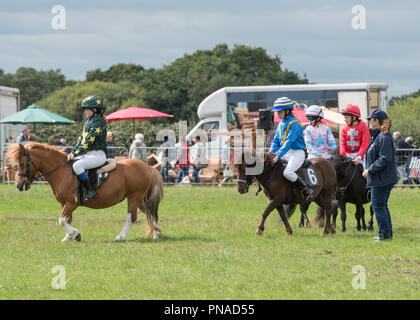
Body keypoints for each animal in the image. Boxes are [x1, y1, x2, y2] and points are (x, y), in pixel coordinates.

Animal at [6, 142, 164, 242]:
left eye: (21, 164)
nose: (19, 185)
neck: (61, 171)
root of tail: (148, 167)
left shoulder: (71, 203)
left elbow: (61, 220)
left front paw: (75, 235)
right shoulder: (64, 204)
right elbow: (67, 219)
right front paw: (68, 237)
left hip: (133, 198)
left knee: (132, 217)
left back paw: (120, 237)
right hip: (140, 200)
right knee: (150, 214)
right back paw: (157, 235)